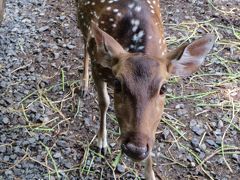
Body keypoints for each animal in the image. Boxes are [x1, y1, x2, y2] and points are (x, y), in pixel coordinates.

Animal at [75, 0, 214, 179]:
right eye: (118, 83)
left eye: (164, 88)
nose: (135, 149)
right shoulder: (97, 67)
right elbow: (104, 102)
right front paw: (101, 142)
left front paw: (150, 174)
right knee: (84, 44)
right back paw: (84, 85)